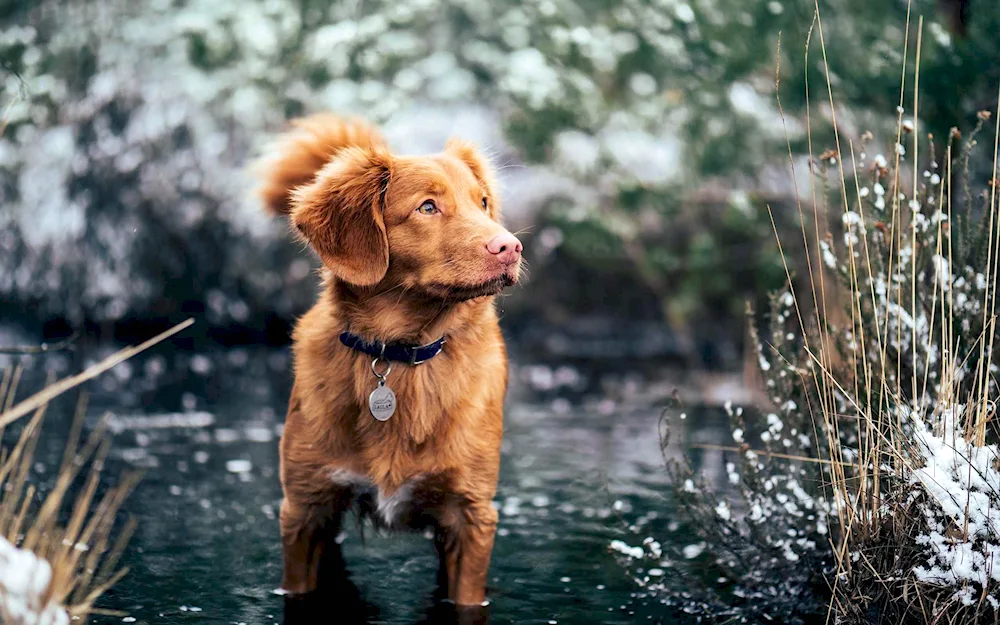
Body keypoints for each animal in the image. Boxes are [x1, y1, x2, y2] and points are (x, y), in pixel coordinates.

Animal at [256, 112, 524, 604]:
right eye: (427, 208)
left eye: (482, 203)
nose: (511, 248)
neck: (399, 356)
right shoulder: (306, 509)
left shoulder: (471, 516)